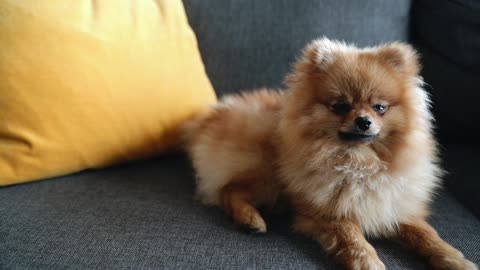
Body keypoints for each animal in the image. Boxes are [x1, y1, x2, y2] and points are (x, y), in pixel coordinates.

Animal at [183, 38, 476, 270]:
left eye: (379, 107)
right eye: (341, 106)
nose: (363, 121)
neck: (359, 163)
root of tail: (211, 118)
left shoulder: (393, 207)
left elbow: (428, 235)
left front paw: (455, 259)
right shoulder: (327, 212)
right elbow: (352, 236)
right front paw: (368, 261)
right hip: (267, 174)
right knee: (227, 189)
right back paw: (250, 218)